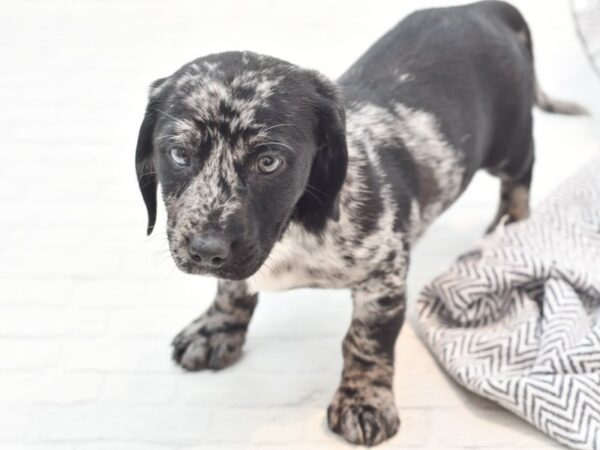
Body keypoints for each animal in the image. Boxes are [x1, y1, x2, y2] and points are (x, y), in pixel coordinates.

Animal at [135, 0, 584, 446]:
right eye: (178, 154)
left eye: (269, 162)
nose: (206, 252)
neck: (297, 224)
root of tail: (486, 8)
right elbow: (232, 287)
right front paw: (218, 329)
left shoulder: (384, 277)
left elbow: (366, 340)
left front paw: (364, 400)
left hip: (509, 145)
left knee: (521, 175)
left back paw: (510, 225)